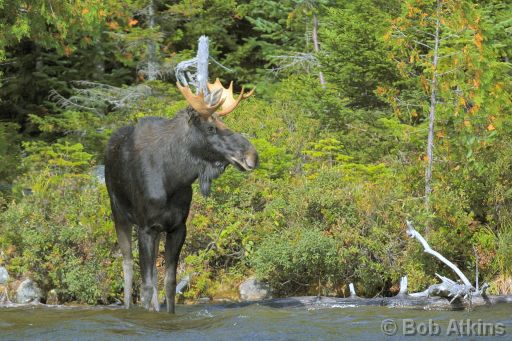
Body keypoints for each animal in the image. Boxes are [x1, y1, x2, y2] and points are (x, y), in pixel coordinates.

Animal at [104, 79, 258, 310]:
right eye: (211, 127)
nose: (252, 156)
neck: (174, 179)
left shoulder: (177, 227)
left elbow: (169, 282)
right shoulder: (145, 227)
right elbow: (146, 285)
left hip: (157, 230)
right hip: (119, 212)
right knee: (128, 264)